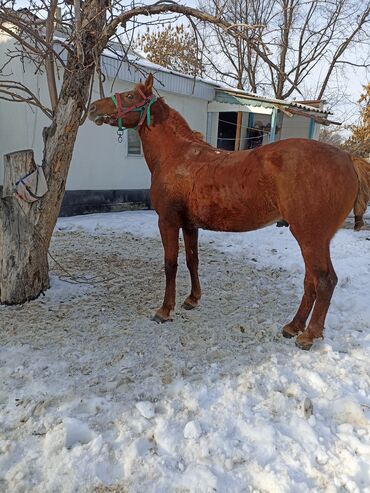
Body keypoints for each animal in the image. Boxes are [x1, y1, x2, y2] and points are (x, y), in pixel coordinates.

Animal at [89, 74, 370, 350]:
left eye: (129, 96)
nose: (93, 108)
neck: (177, 156)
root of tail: (348, 158)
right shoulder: (189, 225)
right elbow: (192, 260)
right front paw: (192, 299)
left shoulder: (167, 221)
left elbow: (171, 264)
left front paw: (165, 310)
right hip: (313, 239)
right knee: (311, 280)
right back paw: (293, 327)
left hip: (311, 237)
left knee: (325, 280)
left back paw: (308, 335)